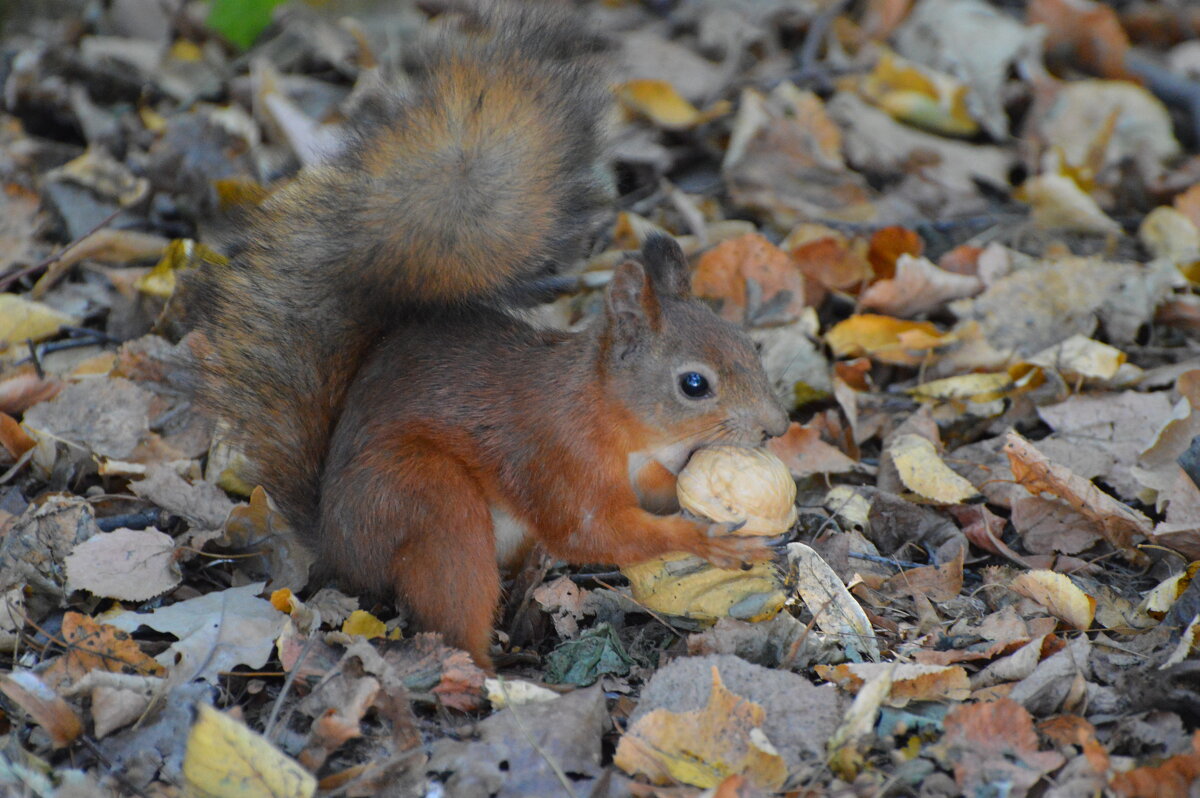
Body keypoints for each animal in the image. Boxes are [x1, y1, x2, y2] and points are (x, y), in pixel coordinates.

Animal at [184, 3, 787, 667]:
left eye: (749, 344)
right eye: (694, 384)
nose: (777, 428)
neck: (616, 418)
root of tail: (338, 549)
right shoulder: (555, 456)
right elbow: (593, 531)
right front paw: (707, 541)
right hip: (425, 501)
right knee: (454, 601)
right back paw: (483, 670)